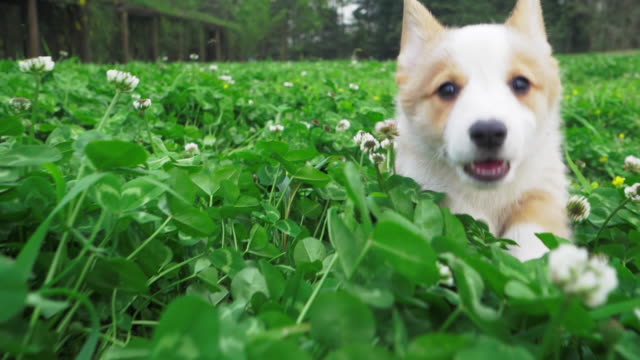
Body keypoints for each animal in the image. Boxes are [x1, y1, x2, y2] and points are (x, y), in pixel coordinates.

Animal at [396, 0, 568, 260]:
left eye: (520, 83)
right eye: (447, 89)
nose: (489, 133)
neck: (489, 195)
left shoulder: (543, 189)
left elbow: (533, 234)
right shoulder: (438, 192)